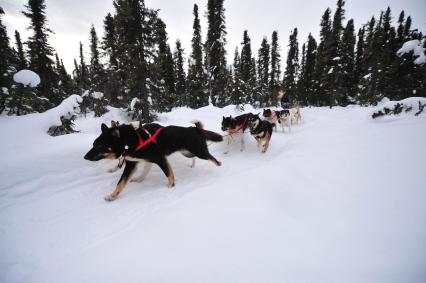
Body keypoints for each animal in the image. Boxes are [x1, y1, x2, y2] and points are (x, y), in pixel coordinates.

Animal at [84, 121, 223, 202]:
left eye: (99, 146)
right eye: (93, 144)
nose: (85, 157)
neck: (130, 142)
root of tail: (193, 128)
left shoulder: (160, 159)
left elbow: (169, 175)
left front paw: (171, 187)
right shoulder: (132, 164)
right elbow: (121, 183)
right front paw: (113, 196)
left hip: (200, 152)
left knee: (215, 160)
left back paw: (221, 170)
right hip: (188, 153)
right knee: (196, 158)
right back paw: (194, 165)